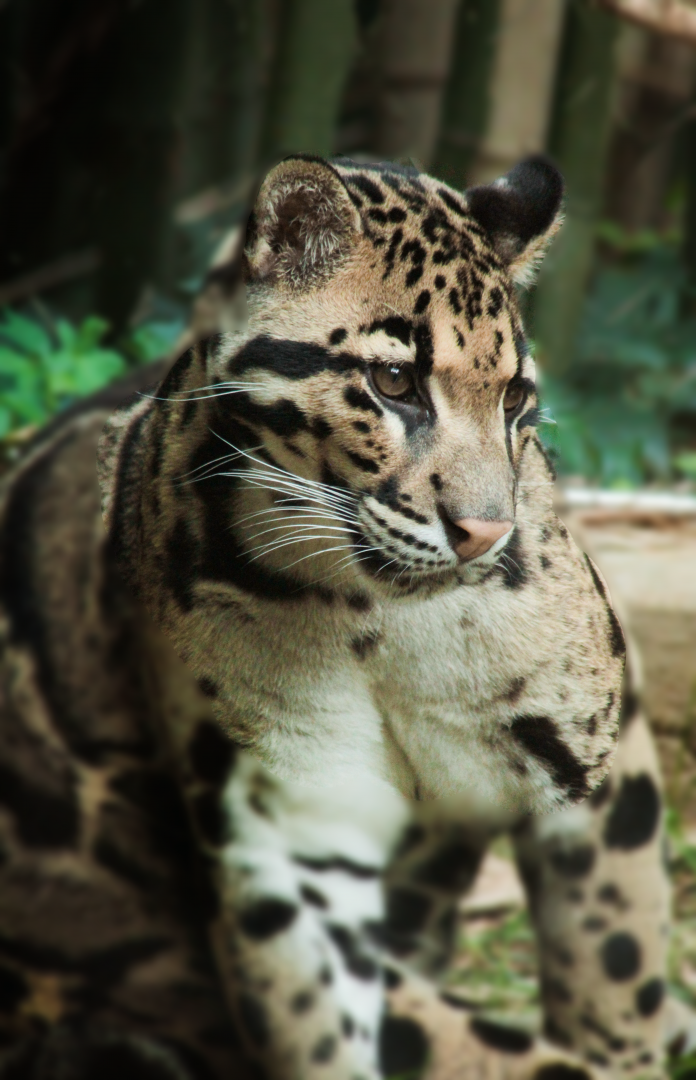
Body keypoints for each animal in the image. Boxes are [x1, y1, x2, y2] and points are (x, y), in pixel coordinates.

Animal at [0, 153, 684, 1080]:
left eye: (516, 400)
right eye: (394, 382)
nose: (485, 531)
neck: (388, 627)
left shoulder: (598, 736)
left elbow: (618, 945)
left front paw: (627, 1042)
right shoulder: (286, 835)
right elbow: (335, 1023)